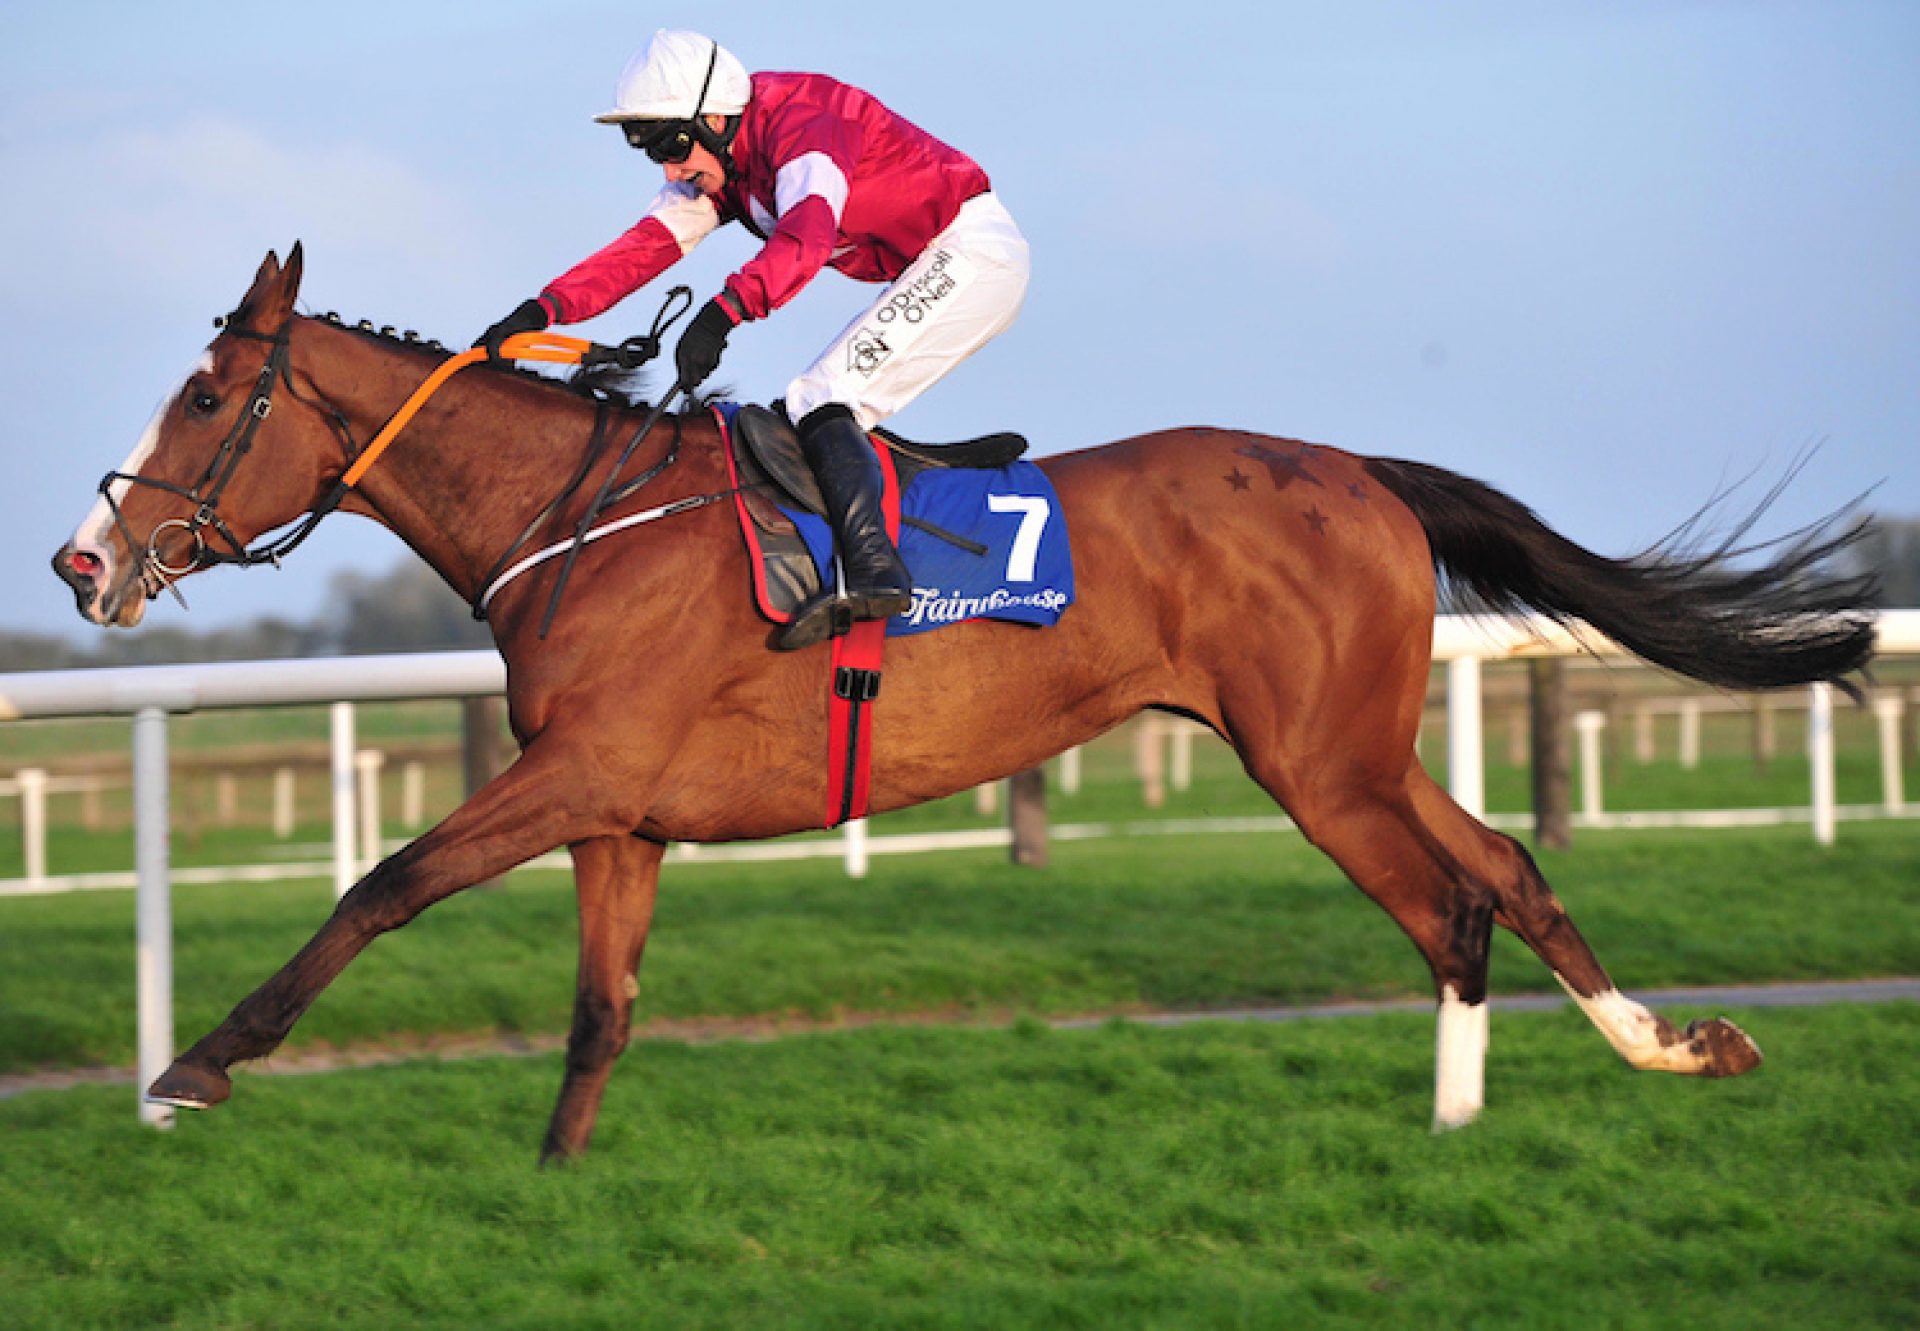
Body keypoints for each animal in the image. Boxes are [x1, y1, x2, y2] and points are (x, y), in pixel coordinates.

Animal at [56, 243, 1873, 1160]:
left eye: (206, 396)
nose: (84, 561)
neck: (578, 518)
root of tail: (1357, 468)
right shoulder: (619, 813)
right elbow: (597, 1012)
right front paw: (558, 1189)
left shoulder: (574, 776)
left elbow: (379, 885)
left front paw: (194, 1067)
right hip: (1351, 745)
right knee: (1503, 869)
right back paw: (1675, 1047)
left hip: (1317, 761)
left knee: (1453, 904)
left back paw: (1503, 1099)